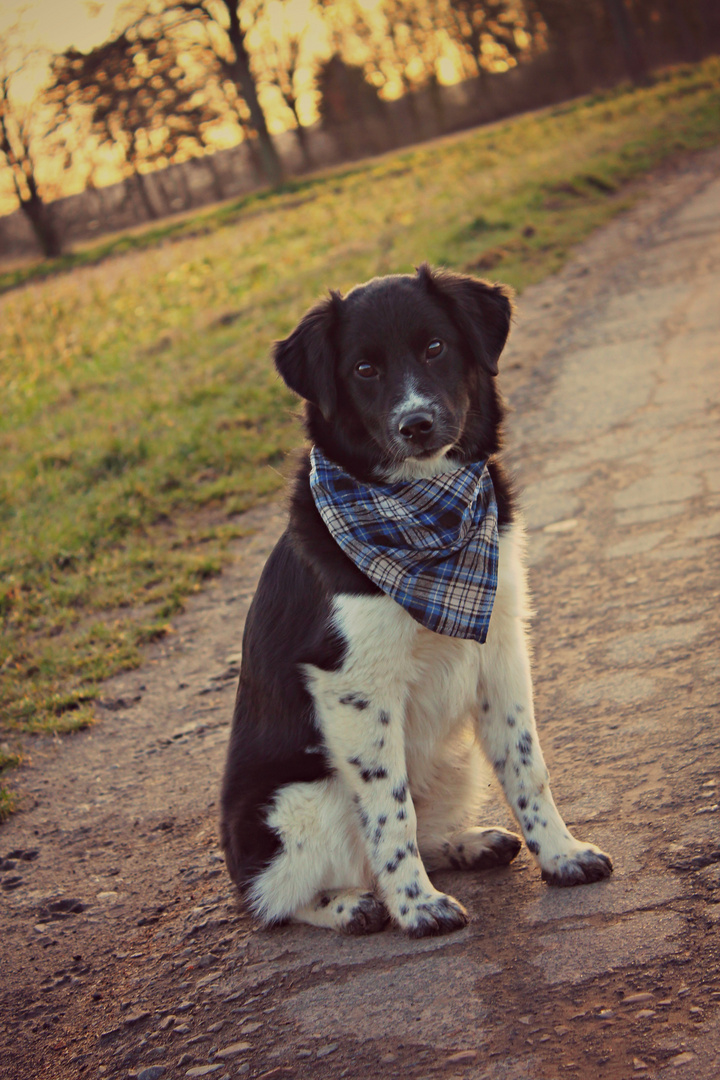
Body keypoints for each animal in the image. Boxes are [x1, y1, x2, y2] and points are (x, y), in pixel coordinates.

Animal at [221, 263, 613, 937]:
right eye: (363, 369)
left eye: (435, 347)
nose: (417, 424)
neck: (424, 517)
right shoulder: (354, 686)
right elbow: (388, 809)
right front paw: (416, 905)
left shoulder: (500, 647)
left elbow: (526, 764)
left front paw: (561, 855)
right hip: (302, 797)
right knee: (275, 894)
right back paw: (353, 904)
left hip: (452, 762)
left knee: (424, 822)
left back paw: (469, 844)